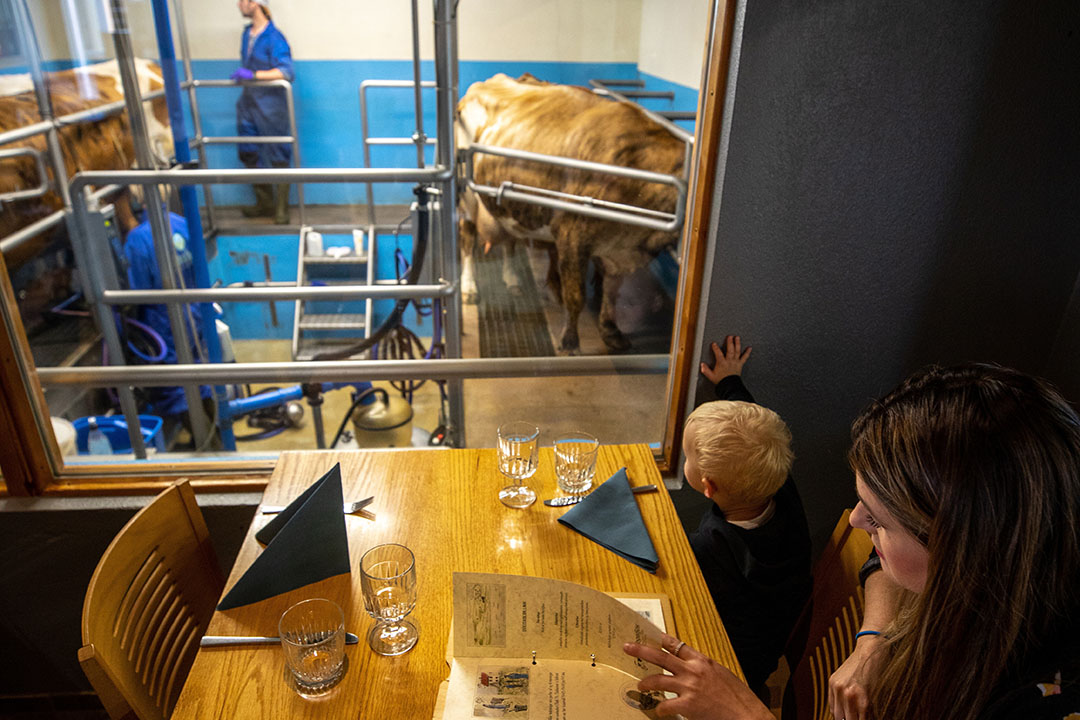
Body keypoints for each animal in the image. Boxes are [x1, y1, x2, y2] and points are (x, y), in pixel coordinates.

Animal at [455, 73, 682, 354]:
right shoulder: (572, 236)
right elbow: (575, 297)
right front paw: (570, 342)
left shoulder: (618, 246)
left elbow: (612, 289)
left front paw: (610, 330)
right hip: (467, 198)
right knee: (467, 240)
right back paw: (469, 287)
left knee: (508, 239)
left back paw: (512, 279)